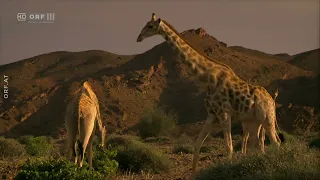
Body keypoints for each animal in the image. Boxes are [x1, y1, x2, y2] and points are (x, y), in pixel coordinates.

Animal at [136, 13, 282, 176]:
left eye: (150, 26)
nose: (139, 37)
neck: (207, 76)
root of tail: (272, 100)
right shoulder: (211, 114)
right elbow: (197, 144)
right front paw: (193, 174)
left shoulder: (224, 113)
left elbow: (229, 147)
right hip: (253, 120)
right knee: (257, 144)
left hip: (267, 117)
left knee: (275, 143)